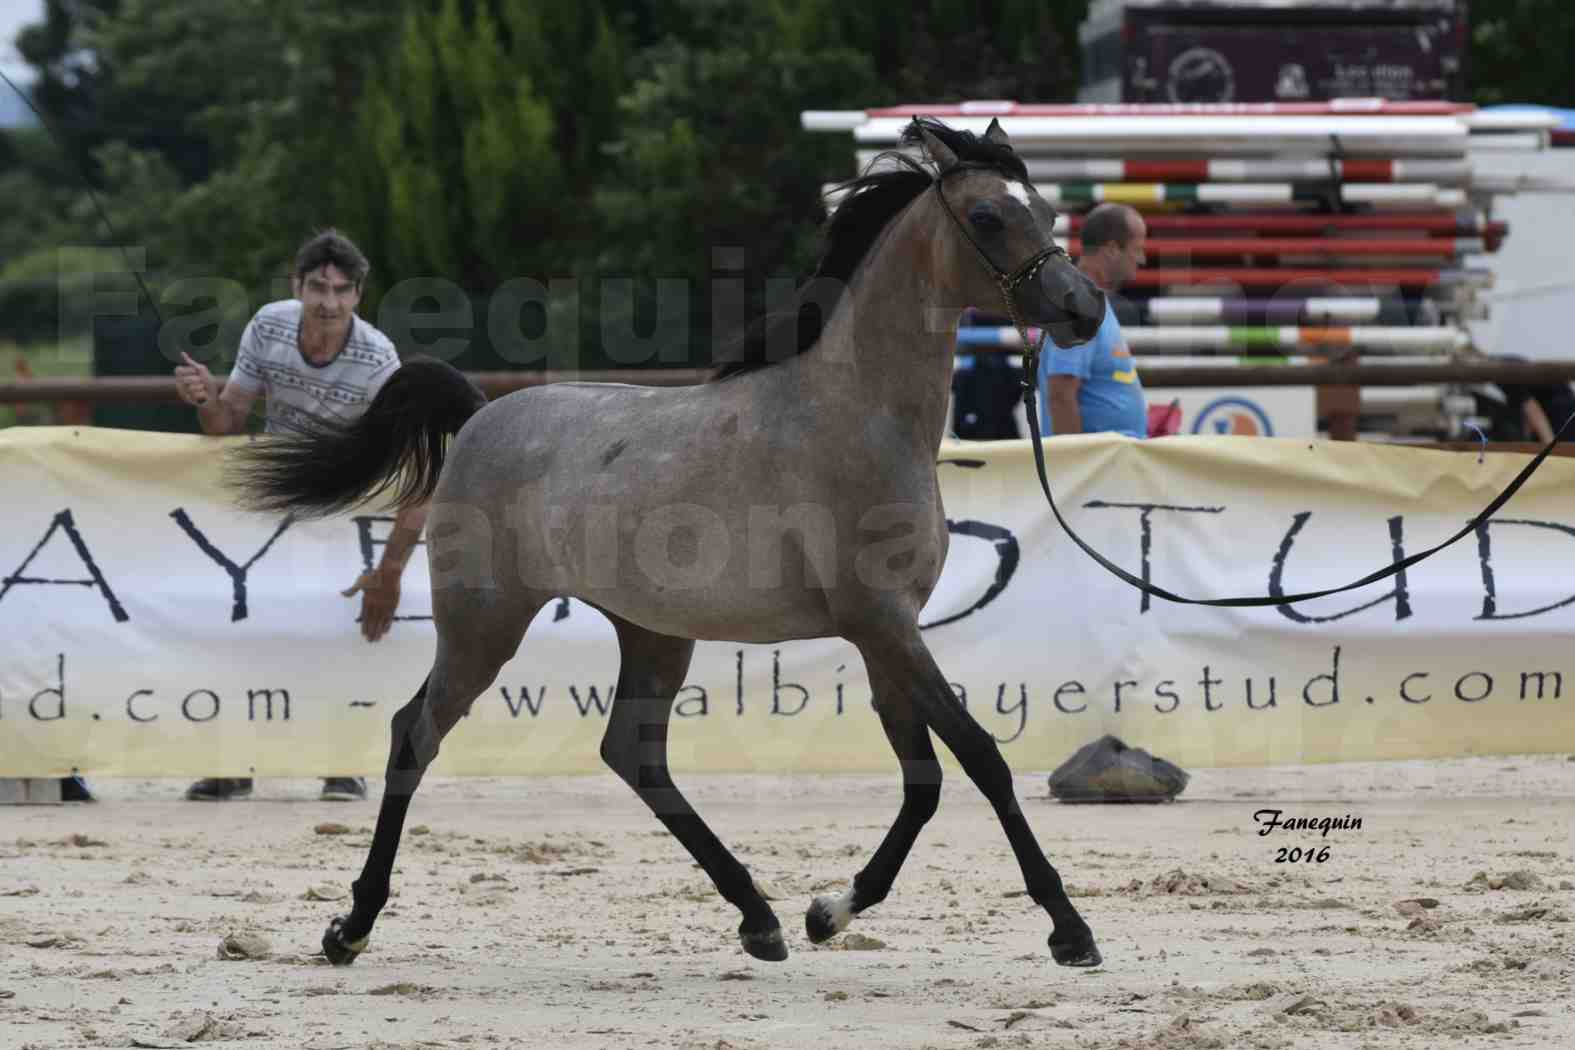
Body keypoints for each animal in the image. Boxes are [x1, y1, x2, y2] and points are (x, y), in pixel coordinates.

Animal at [233, 114, 1115, 969]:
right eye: (987, 216)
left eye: (1044, 208)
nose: (1083, 308)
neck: (855, 414)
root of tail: (481, 415)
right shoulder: (884, 626)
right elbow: (980, 758)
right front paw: (1069, 930)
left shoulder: (884, 634)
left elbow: (923, 779)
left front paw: (828, 912)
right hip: (484, 625)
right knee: (414, 735)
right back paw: (350, 928)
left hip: (652, 632)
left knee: (632, 754)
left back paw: (759, 919)